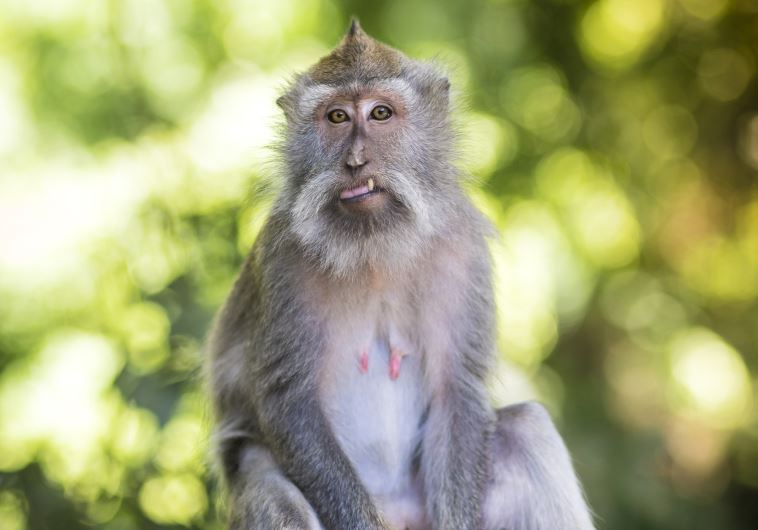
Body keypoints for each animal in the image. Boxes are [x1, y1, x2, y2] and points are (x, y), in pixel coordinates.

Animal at [207, 19, 596, 530]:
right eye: (336, 117)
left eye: (380, 113)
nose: (356, 160)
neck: (374, 249)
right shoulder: (282, 260)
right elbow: (290, 402)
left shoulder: (461, 251)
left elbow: (456, 390)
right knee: (266, 477)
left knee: (525, 427)